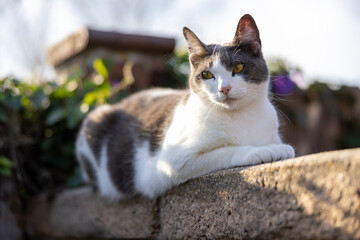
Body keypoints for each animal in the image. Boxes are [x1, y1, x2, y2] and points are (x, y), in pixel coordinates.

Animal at [75, 14, 296, 200]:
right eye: (207, 74)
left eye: (238, 67)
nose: (224, 88)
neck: (239, 117)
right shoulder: (174, 160)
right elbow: (226, 150)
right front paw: (266, 150)